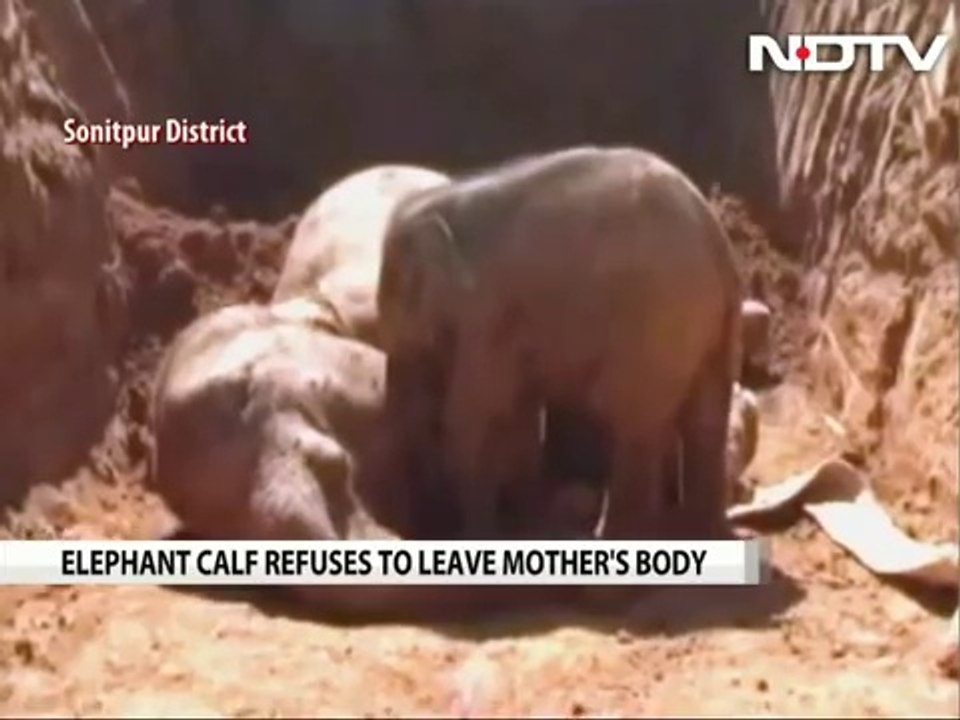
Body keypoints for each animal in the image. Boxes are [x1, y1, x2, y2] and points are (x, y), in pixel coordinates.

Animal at [376, 145, 744, 541]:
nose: (415, 524)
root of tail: (715, 237)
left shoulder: (486, 314)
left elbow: (472, 413)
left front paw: (481, 531)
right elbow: (515, 407)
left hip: (658, 321)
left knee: (635, 427)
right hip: (706, 327)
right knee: (705, 420)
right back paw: (704, 533)